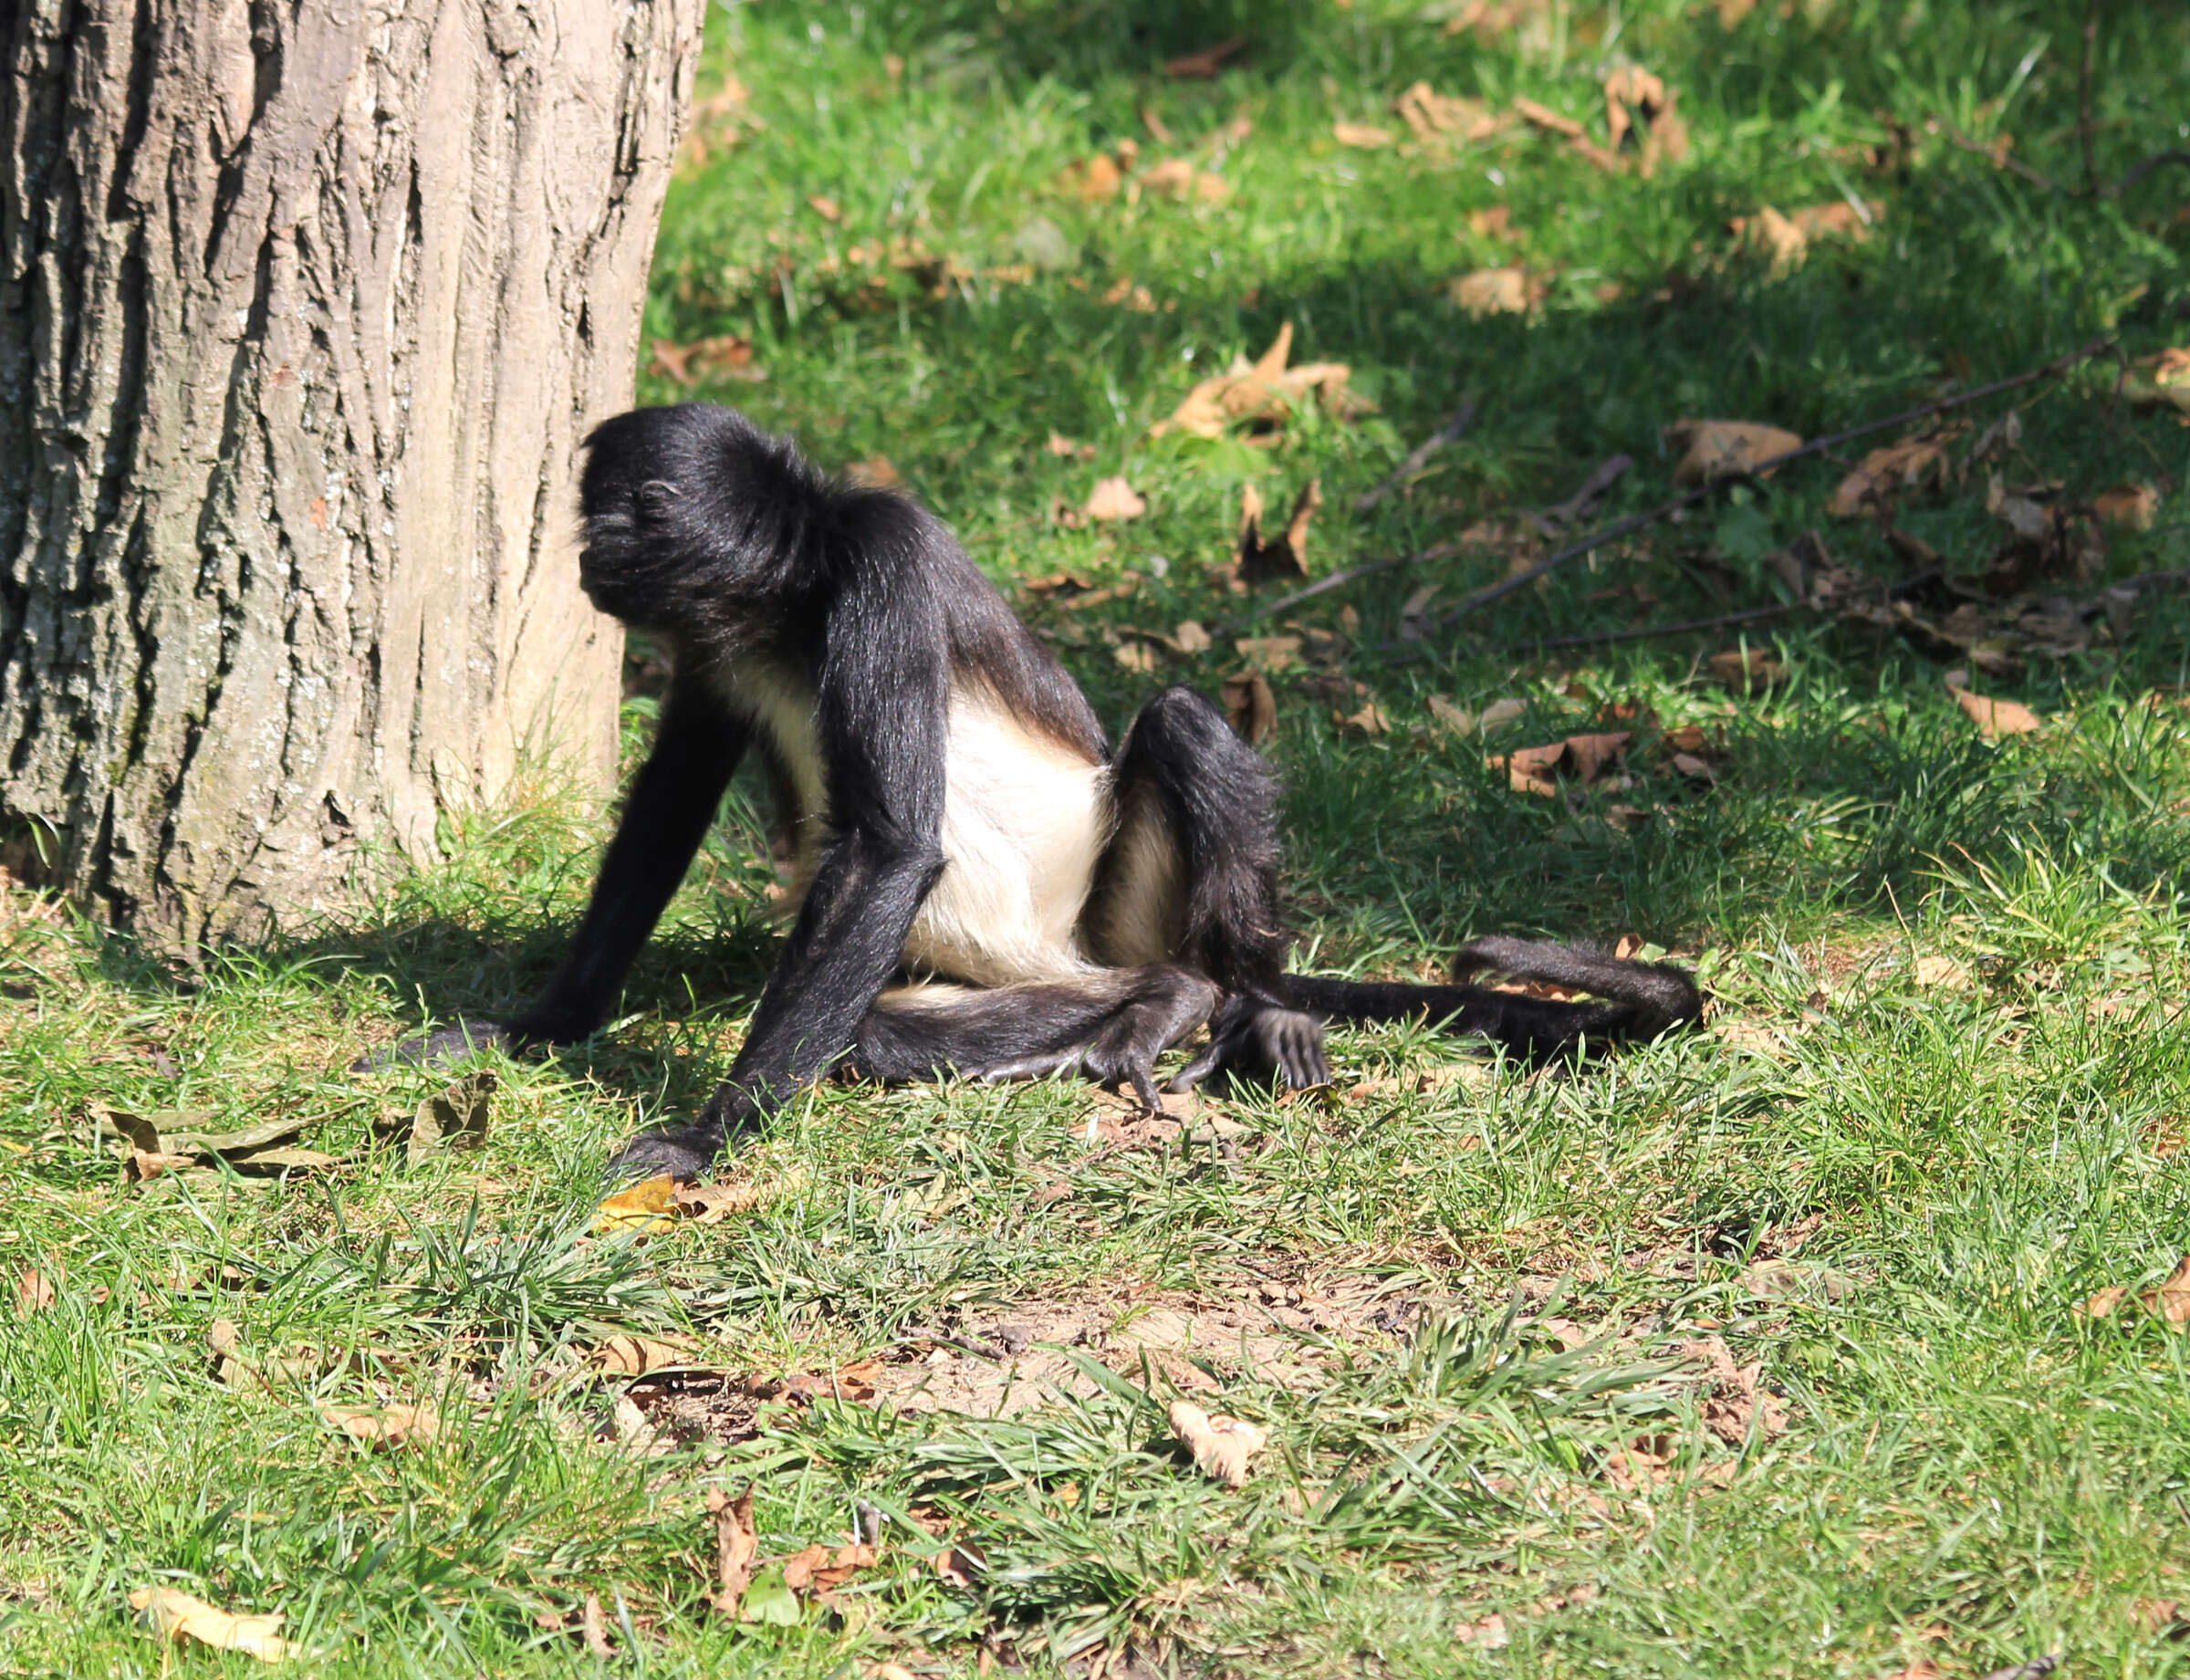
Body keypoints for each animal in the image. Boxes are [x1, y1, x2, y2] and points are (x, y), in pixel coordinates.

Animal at [385, 402, 1699, 1183]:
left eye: (598, 522)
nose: (578, 559)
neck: (793, 600)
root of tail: (1081, 954)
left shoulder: (884, 562)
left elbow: (893, 846)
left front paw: (706, 1137)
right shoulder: (718, 645)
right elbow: (666, 806)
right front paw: (545, 1025)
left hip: (1123, 904)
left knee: (1177, 727)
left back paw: (1234, 1002)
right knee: (876, 1028)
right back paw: (1144, 1016)